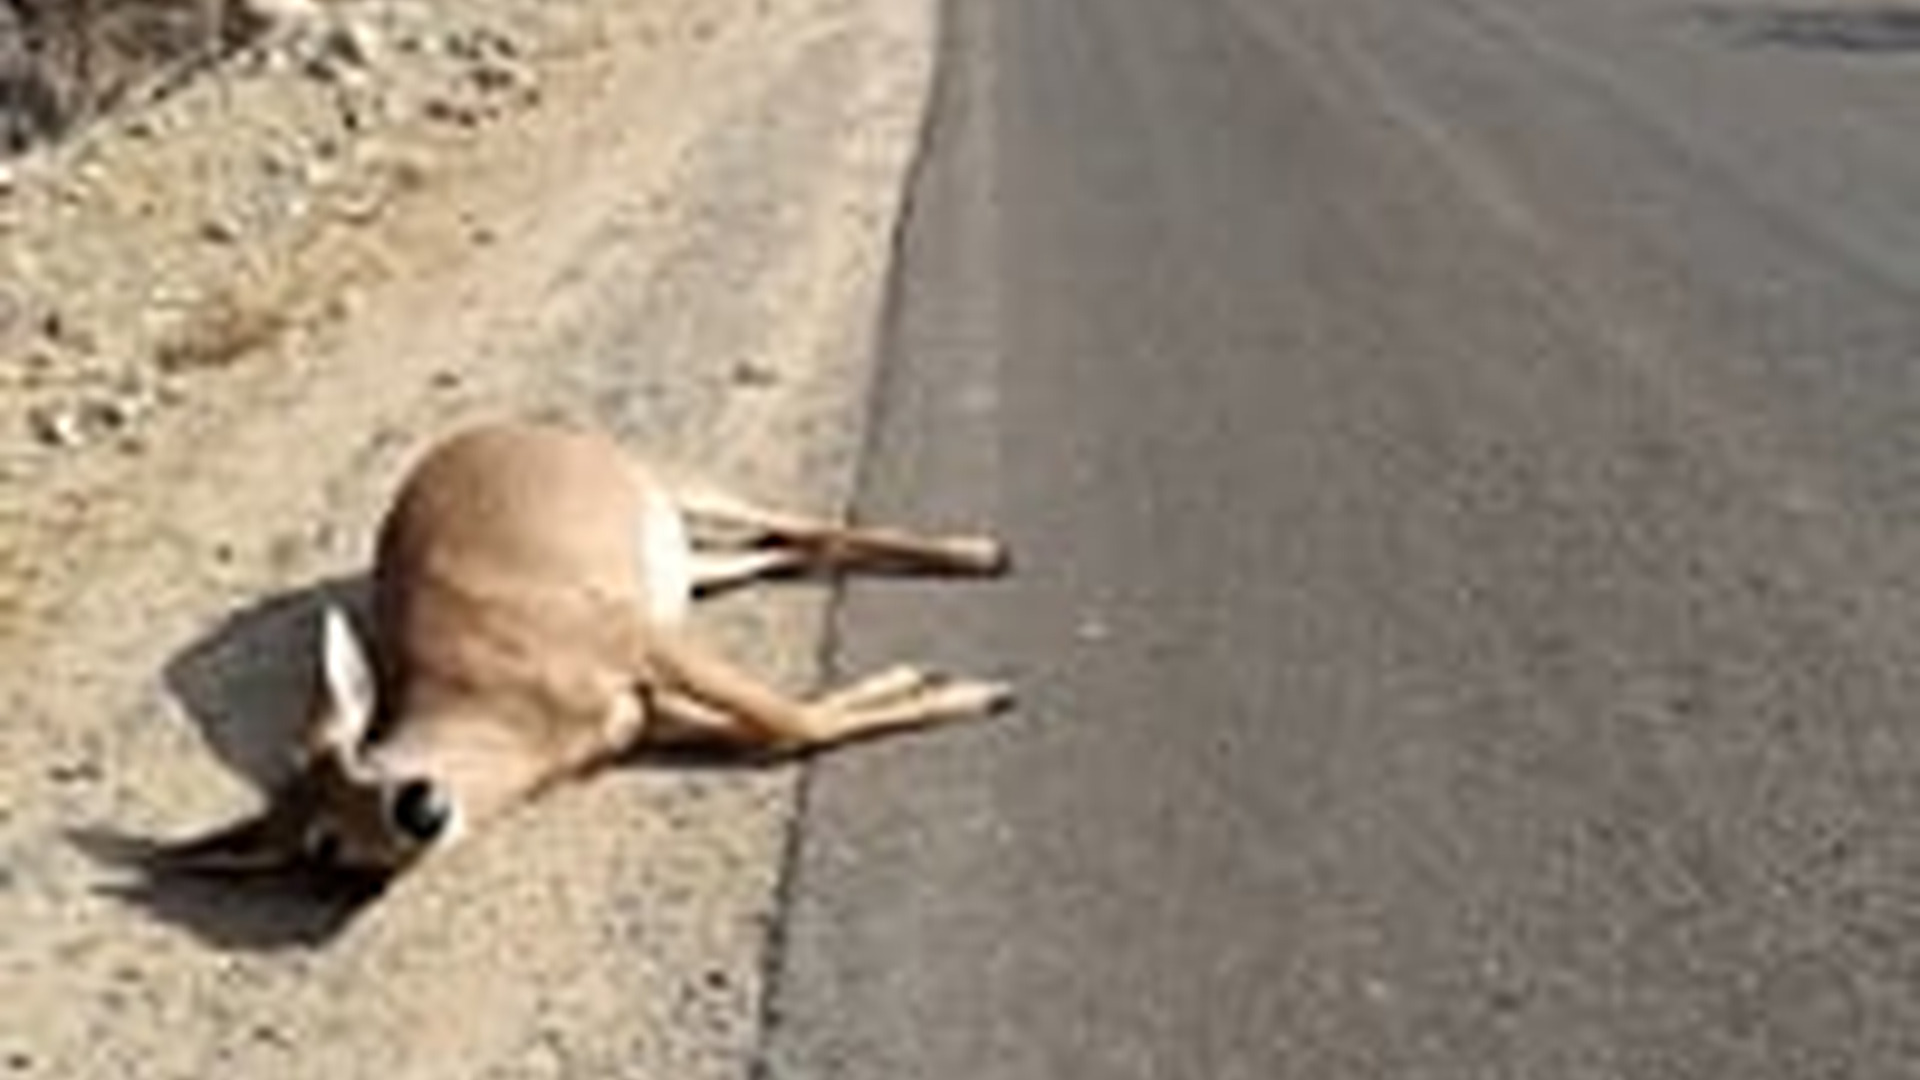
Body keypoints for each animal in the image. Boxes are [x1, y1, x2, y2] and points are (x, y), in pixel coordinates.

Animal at [161, 421, 1012, 878]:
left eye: (362, 755)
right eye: (325, 848)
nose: (420, 808)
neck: (501, 705)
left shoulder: (636, 641)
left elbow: (788, 721)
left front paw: (974, 690)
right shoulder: (647, 712)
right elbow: (779, 729)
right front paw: (928, 678)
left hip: (677, 492)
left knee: (795, 523)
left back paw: (981, 552)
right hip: (682, 566)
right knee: (780, 549)